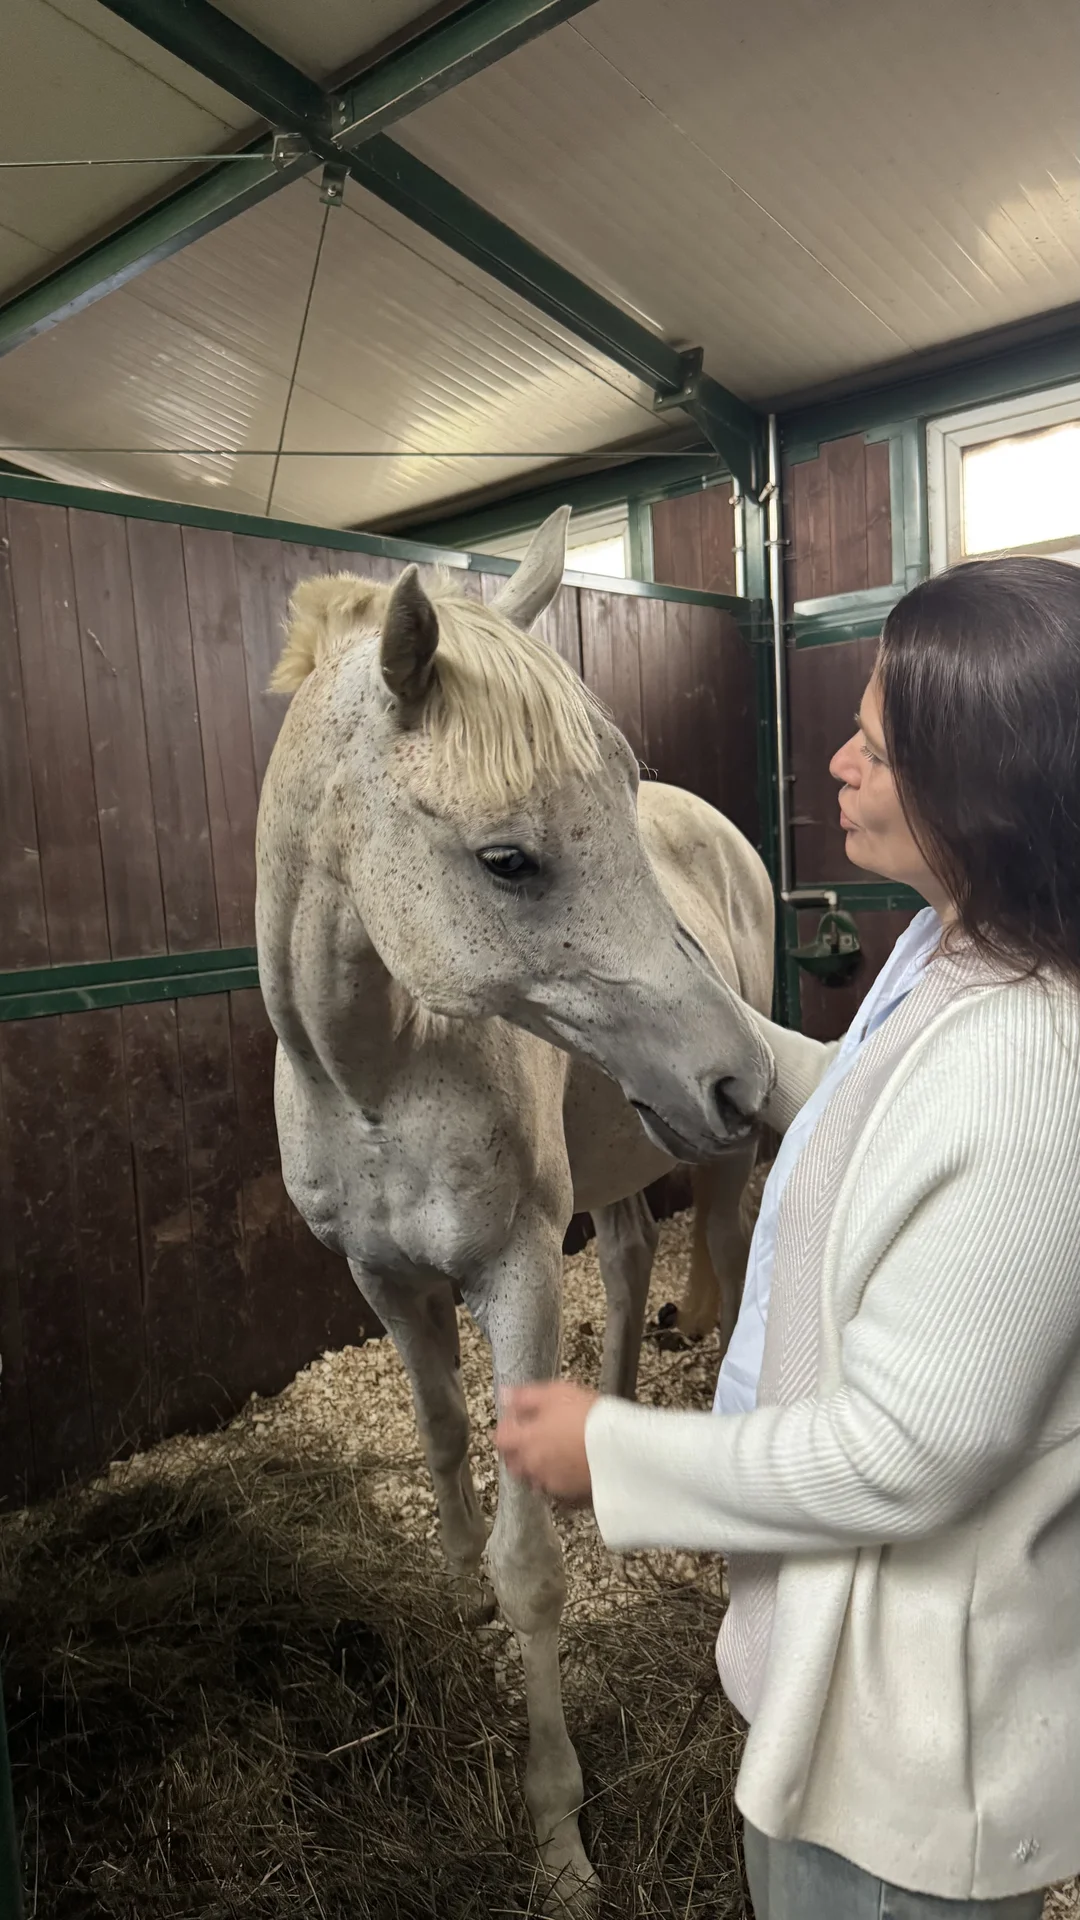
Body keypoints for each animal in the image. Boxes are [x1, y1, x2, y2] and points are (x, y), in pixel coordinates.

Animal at [255, 508, 775, 1910]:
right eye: (507, 860)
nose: (738, 1076)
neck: (378, 1069)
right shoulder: (383, 1279)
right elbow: (443, 1435)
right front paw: (451, 1593)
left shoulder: (517, 1274)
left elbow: (534, 1568)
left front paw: (559, 1844)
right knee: (637, 1255)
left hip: (694, 1173)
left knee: (722, 1250)